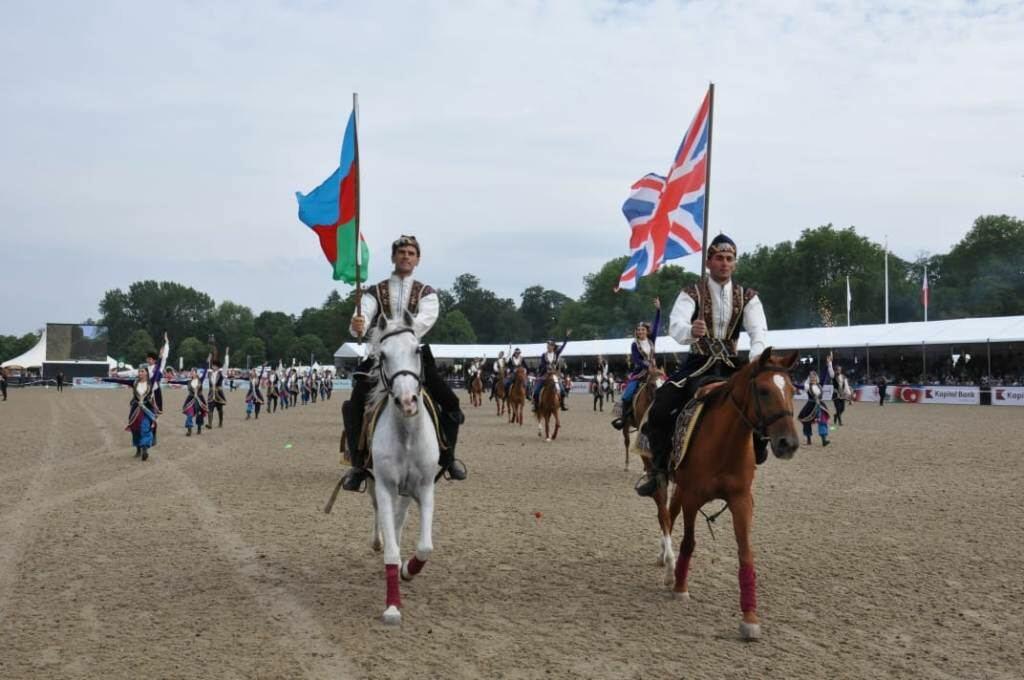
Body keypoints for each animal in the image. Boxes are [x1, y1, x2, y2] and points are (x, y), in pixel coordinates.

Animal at [651, 348, 802, 639]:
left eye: (791, 389)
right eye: (764, 390)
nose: (788, 443)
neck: (723, 444)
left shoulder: (741, 501)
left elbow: (745, 554)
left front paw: (750, 618)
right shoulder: (692, 497)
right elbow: (689, 542)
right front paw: (680, 588)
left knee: (669, 515)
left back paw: (665, 561)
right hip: (665, 482)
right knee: (664, 516)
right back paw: (669, 567)